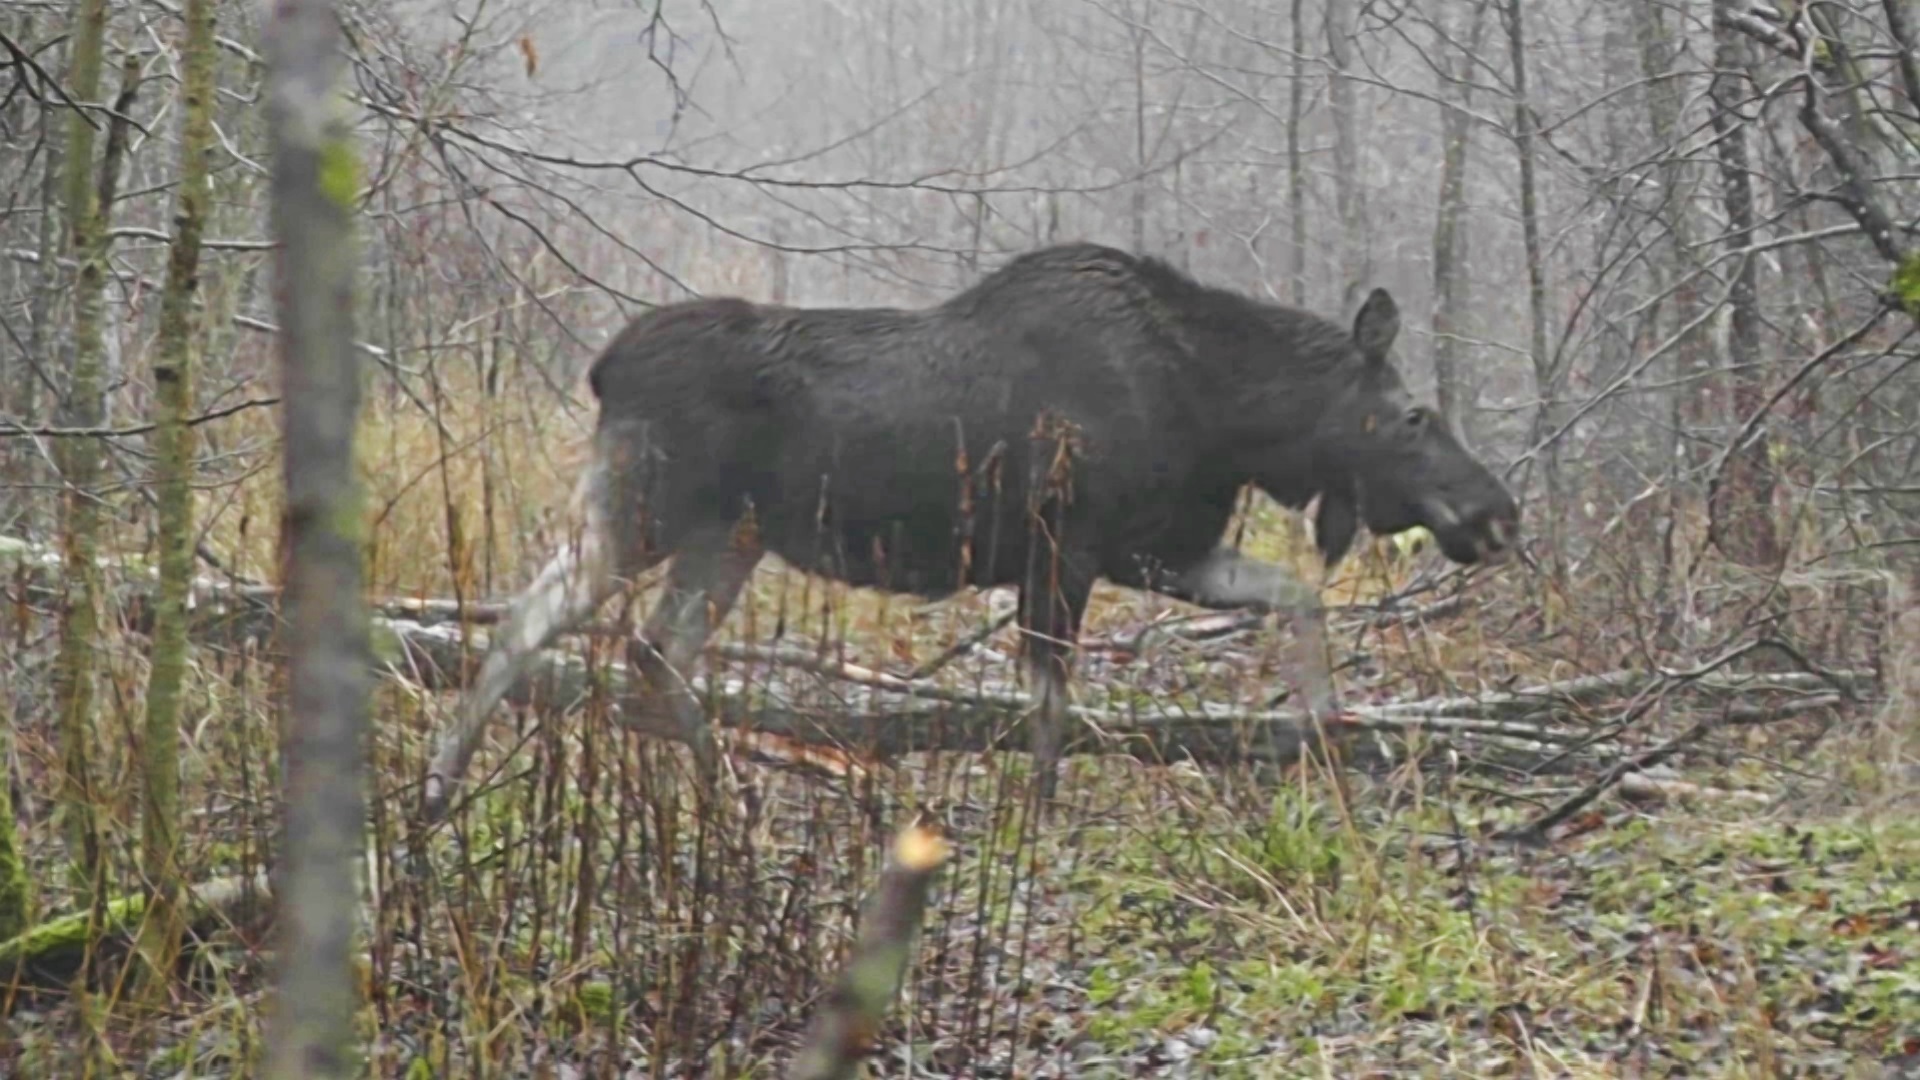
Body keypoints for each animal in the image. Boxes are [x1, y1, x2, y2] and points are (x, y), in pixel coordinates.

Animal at [420, 242, 1512, 814]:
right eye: (1415, 416)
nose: (1498, 513)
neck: (1228, 415)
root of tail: (604, 367)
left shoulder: (1158, 546)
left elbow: (1296, 595)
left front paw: (1323, 728)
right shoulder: (1069, 549)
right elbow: (1051, 702)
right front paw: (1039, 817)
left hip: (726, 536)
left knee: (653, 649)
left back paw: (719, 791)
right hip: (647, 507)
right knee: (528, 620)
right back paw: (442, 783)